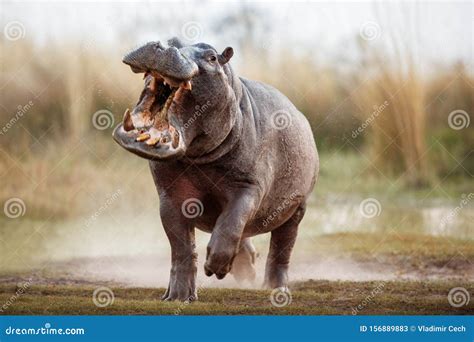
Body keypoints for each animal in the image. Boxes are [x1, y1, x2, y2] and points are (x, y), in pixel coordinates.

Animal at [112, 38, 318, 302]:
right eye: (172, 40)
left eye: (211, 57)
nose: (161, 46)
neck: (198, 158)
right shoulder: (169, 196)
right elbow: (181, 247)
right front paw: (177, 296)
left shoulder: (249, 186)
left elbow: (233, 220)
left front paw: (216, 268)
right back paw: (245, 269)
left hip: (297, 209)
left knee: (281, 248)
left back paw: (276, 289)